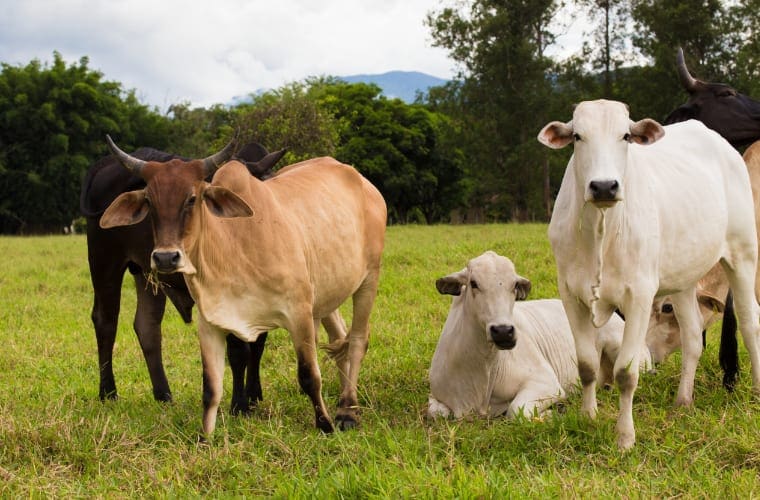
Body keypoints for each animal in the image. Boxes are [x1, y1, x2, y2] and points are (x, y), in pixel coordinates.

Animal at [81, 142, 286, 414]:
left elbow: (258, 344)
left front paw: (253, 396)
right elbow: (238, 349)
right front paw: (239, 405)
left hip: (147, 273)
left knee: (147, 326)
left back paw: (163, 394)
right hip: (105, 262)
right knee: (106, 321)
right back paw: (108, 392)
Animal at [424, 252, 652, 420]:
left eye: (514, 285)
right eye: (473, 283)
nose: (503, 331)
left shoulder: (547, 383)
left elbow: (516, 410)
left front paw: (550, 415)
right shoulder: (436, 397)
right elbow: (436, 413)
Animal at [536, 98, 760, 450]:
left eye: (626, 136)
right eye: (577, 137)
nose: (604, 186)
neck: (602, 228)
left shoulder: (639, 296)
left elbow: (626, 373)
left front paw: (625, 437)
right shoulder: (571, 294)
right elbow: (586, 365)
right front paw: (588, 417)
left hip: (743, 255)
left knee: (750, 324)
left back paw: (756, 389)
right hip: (684, 279)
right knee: (693, 336)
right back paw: (682, 401)